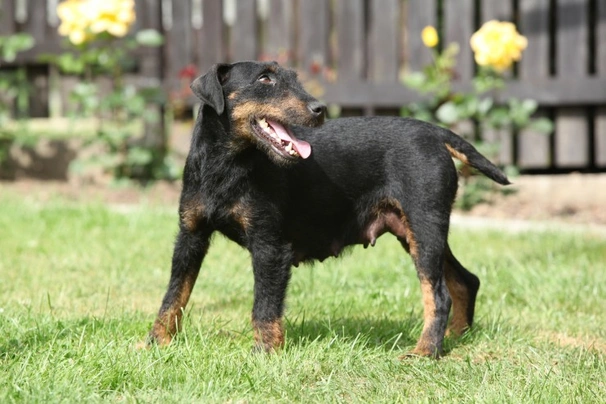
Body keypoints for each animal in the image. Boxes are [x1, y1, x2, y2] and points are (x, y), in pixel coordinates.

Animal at [146, 60, 508, 356]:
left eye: (293, 78)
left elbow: (264, 306)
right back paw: (455, 338)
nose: (319, 108)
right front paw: (155, 343)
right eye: (265, 79)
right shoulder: (191, 237)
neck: (227, 165)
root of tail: (435, 132)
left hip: (425, 225)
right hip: (415, 231)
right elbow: (173, 295)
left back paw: (425, 351)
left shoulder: (269, 247)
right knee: (465, 280)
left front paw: (264, 353)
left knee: (438, 294)